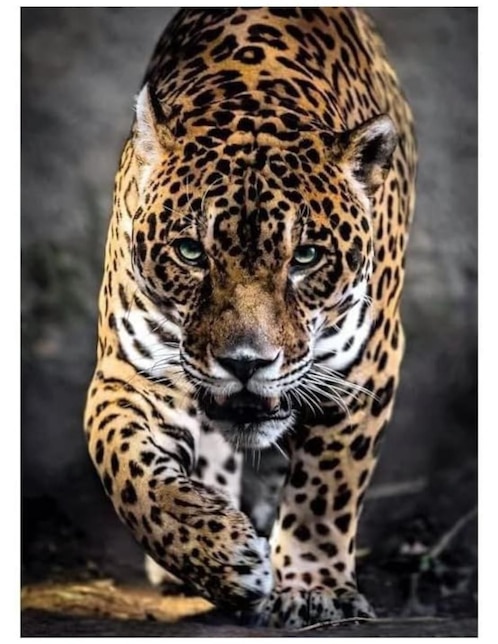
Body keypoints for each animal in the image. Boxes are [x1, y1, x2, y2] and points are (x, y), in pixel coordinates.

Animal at [84, 7, 417, 628]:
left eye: (305, 257)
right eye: (191, 252)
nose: (245, 363)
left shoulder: (365, 369)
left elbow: (326, 489)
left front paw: (313, 589)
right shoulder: (129, 372)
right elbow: (128, 471)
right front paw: (220, 555)